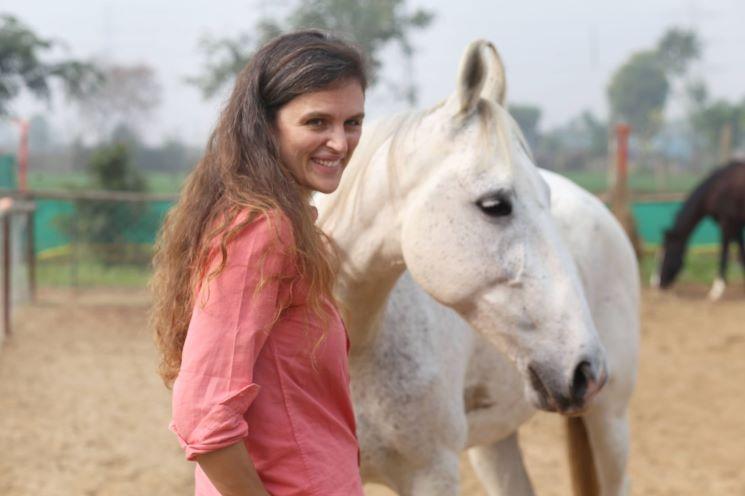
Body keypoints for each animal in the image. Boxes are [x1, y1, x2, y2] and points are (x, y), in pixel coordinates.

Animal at [654, 159, 745, 300]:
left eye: (667, 253)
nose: (657, 284)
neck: (717, 188)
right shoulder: (736, 226)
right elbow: (741, 253)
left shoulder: (727, 224)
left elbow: (723, 254)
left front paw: (716, 290)